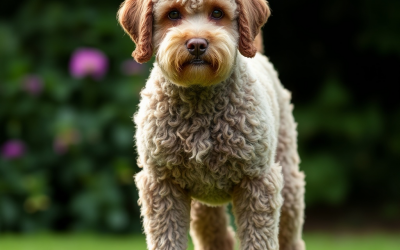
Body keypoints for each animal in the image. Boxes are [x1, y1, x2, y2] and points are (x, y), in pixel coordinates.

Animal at [117, 0, 304, 250]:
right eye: (173, 14)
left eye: (217, 13)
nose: (197, 44)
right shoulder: (162, 184)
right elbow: (167, 238)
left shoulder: (257, 181)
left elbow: (258, 239)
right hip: (203, 205)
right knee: (218, 237)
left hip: (288, 185)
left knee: (291, 238)